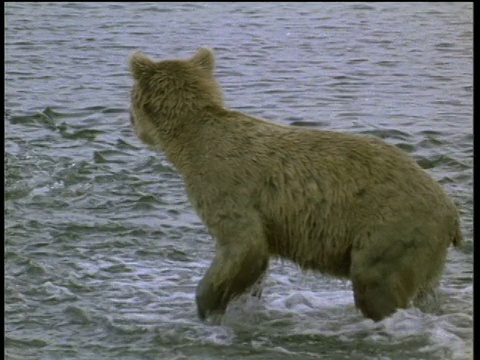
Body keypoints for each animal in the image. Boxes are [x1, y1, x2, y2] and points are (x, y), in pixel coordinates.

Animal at [126, 47, 462, 320]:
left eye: (130, 99)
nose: (130, 123)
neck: (189, 145)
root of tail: (451, 210)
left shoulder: (226, 184)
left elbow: (242, 243)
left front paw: (207, 304)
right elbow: (255, 260)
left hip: (391, 227)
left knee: (375, 282)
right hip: (423, 250)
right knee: (424, 291)